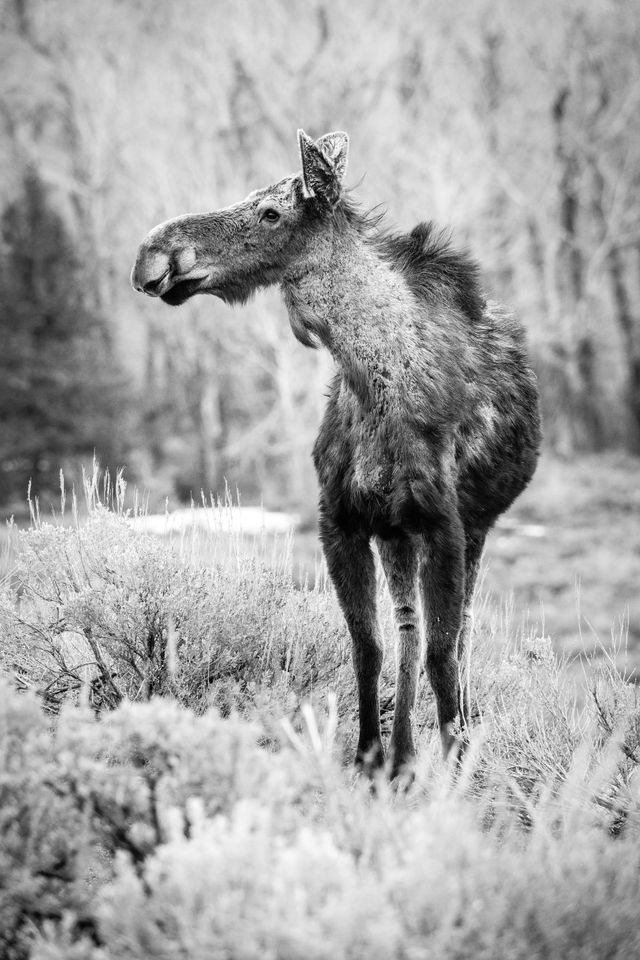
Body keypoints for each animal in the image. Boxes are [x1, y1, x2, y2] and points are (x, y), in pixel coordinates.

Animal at [130, 127, 540, 776]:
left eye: (272, 212)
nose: (154, 256)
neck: (370, 378)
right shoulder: (341, 521)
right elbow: (368, 646)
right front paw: (370, 757)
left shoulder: (443, 525)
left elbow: (444, 654)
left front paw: (453, 764)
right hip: (395, 534)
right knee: (407, 628)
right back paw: (403, 755)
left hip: (470, 527)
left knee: (459, 633)